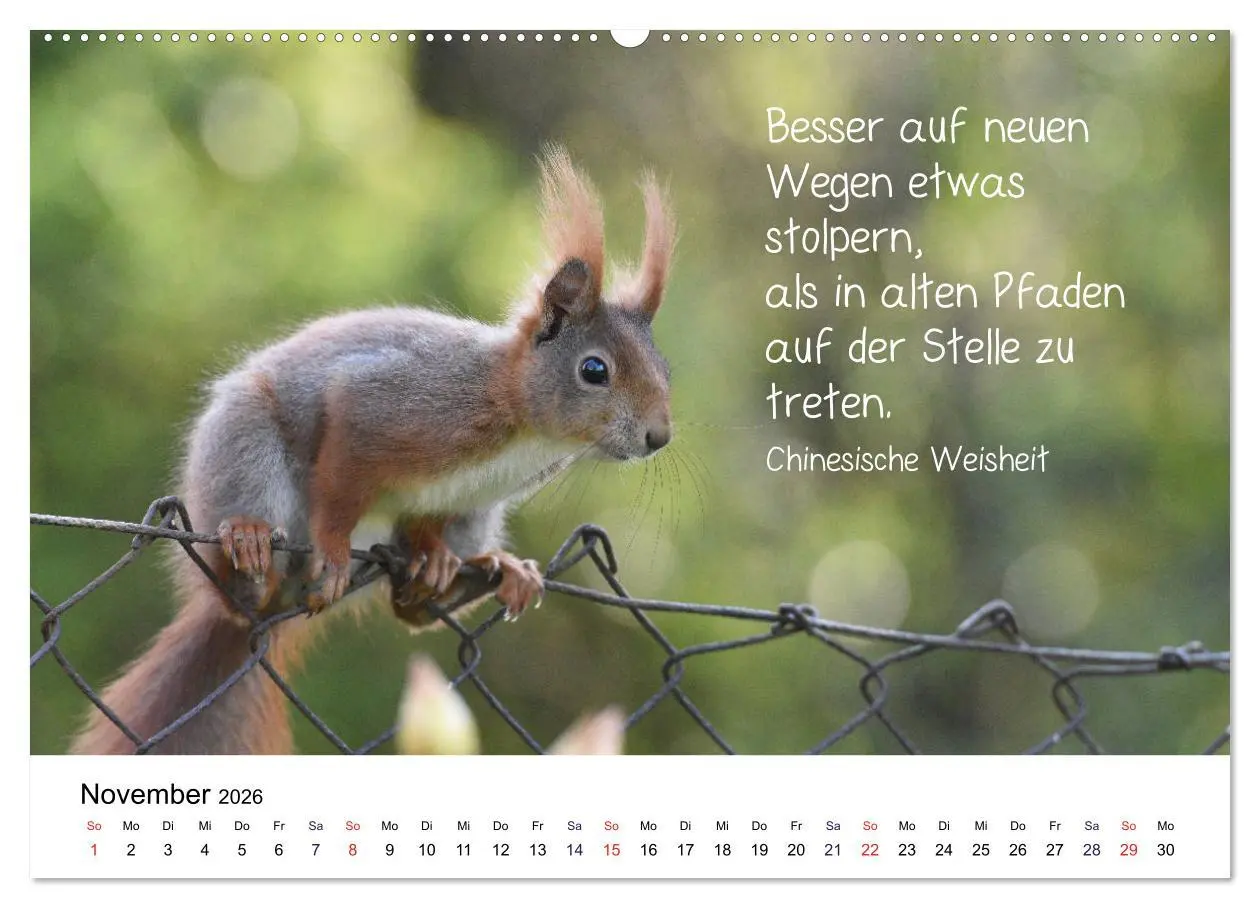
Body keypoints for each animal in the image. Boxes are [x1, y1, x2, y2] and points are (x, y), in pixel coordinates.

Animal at [71, 146, 676, 755]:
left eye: (664, 370)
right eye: (594, 370)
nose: (659, 437)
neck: (524, 426)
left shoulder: (460, 494)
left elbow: (426, 524)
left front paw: (434, 557)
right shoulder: (386, 408)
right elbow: (342, 479)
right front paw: (336, 550)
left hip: (477, 516)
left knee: (407, 611)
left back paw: (476, 577)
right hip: (246, 454)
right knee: (242, 592)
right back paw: (249, 553)